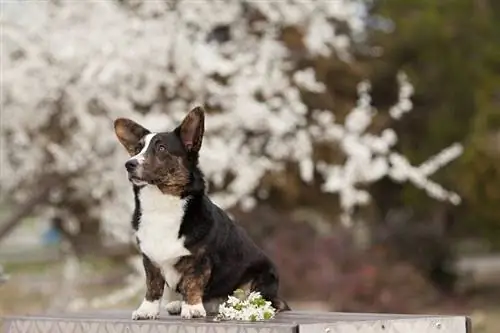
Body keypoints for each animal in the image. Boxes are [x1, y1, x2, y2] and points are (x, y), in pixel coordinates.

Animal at [113, 106, 290, 320]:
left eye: (161, 148)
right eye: (137, 149)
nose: (129, 164)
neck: (162, 204)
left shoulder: (200, 260)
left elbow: (192, 283)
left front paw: (192, 308)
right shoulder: (150, 260)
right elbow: (153, 287)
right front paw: (147, 310)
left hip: (262, 277)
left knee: (256, 300)